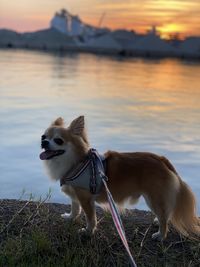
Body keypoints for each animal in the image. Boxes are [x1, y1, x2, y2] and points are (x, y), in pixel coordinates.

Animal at [39, 115, 199, 241]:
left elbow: (90, 218)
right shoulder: (75, 193)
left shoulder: (86, 198)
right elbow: (75, 207)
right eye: (43, 136)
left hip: (153, 197)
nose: (43, 142)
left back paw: (161, 235)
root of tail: (161, 159)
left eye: (58, 140)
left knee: (164, 217)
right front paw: (70, 217)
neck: (76, 162)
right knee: (164, 213)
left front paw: (88, 232)